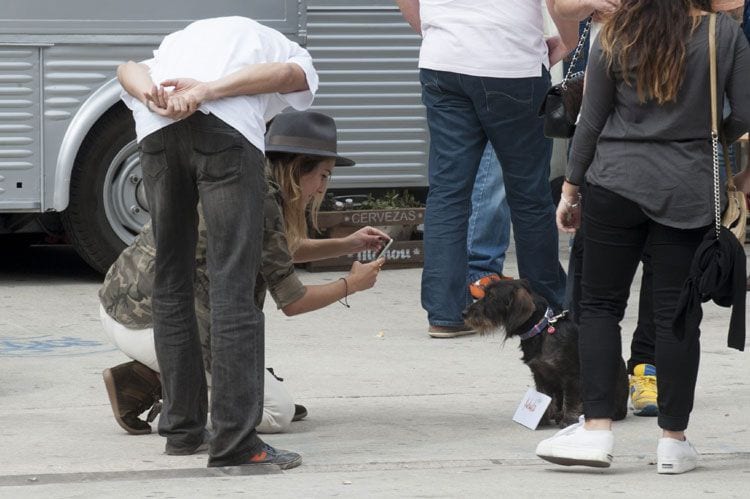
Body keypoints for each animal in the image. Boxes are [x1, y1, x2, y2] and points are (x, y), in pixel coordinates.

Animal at [464, 280, 628, 428]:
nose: (464, 313)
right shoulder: (540, 374)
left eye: (492, 296)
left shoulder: (572, 374)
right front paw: (542, 420)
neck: (541, 330)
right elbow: (545, 396)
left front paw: (569, 420)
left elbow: (571, 398)